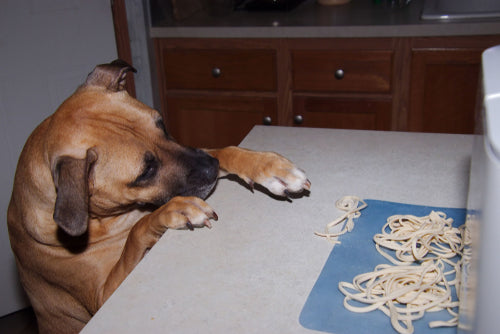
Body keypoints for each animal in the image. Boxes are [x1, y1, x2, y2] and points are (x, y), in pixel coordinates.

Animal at [7, 58, 310, 332]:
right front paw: (174, 210)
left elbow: (227, 150)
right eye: (146, 171)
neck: (105, 218)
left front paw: (270, 166)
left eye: (162, 124)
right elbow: (137, 230)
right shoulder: (104, 294)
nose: (211, 169)